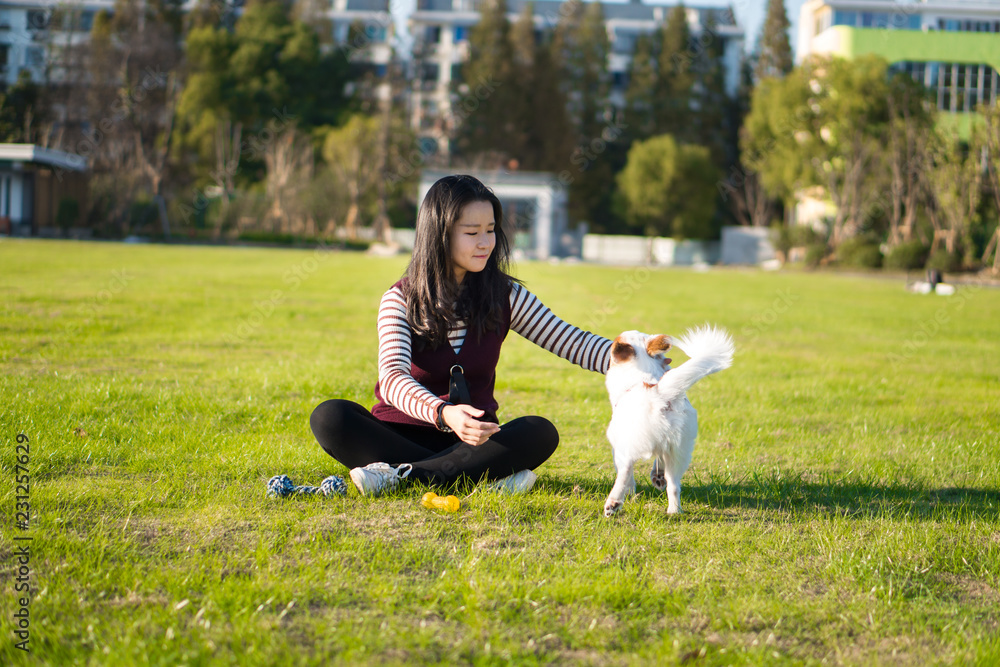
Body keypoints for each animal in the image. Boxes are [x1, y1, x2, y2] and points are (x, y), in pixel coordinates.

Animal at [600, 326, 736, 520]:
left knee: (625, 471)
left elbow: (628, 475)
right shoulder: (666, 445)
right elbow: (659, 460)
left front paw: (630, 492)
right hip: (679, 450)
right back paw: (674, 510)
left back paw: (613, 503)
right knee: (673, 485)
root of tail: (659, 394)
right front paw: (658, 475)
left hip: (625, 445)